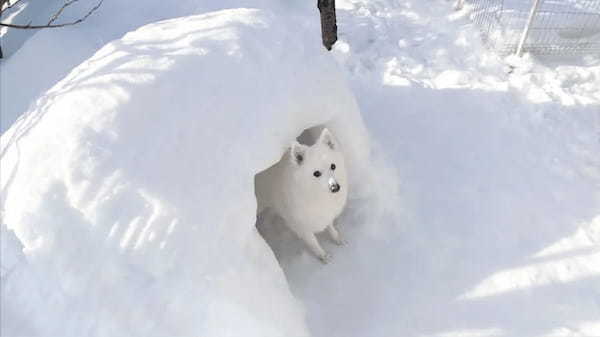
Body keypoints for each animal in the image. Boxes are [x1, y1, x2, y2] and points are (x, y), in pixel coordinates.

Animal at [255, 127, 350, 262]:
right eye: (316, 173)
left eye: (333, 166)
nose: (335, 187)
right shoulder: (302, 227)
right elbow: (314, 243)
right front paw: (323, 256)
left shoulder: (325, 215)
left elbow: (331, 228)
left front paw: (337, 238)